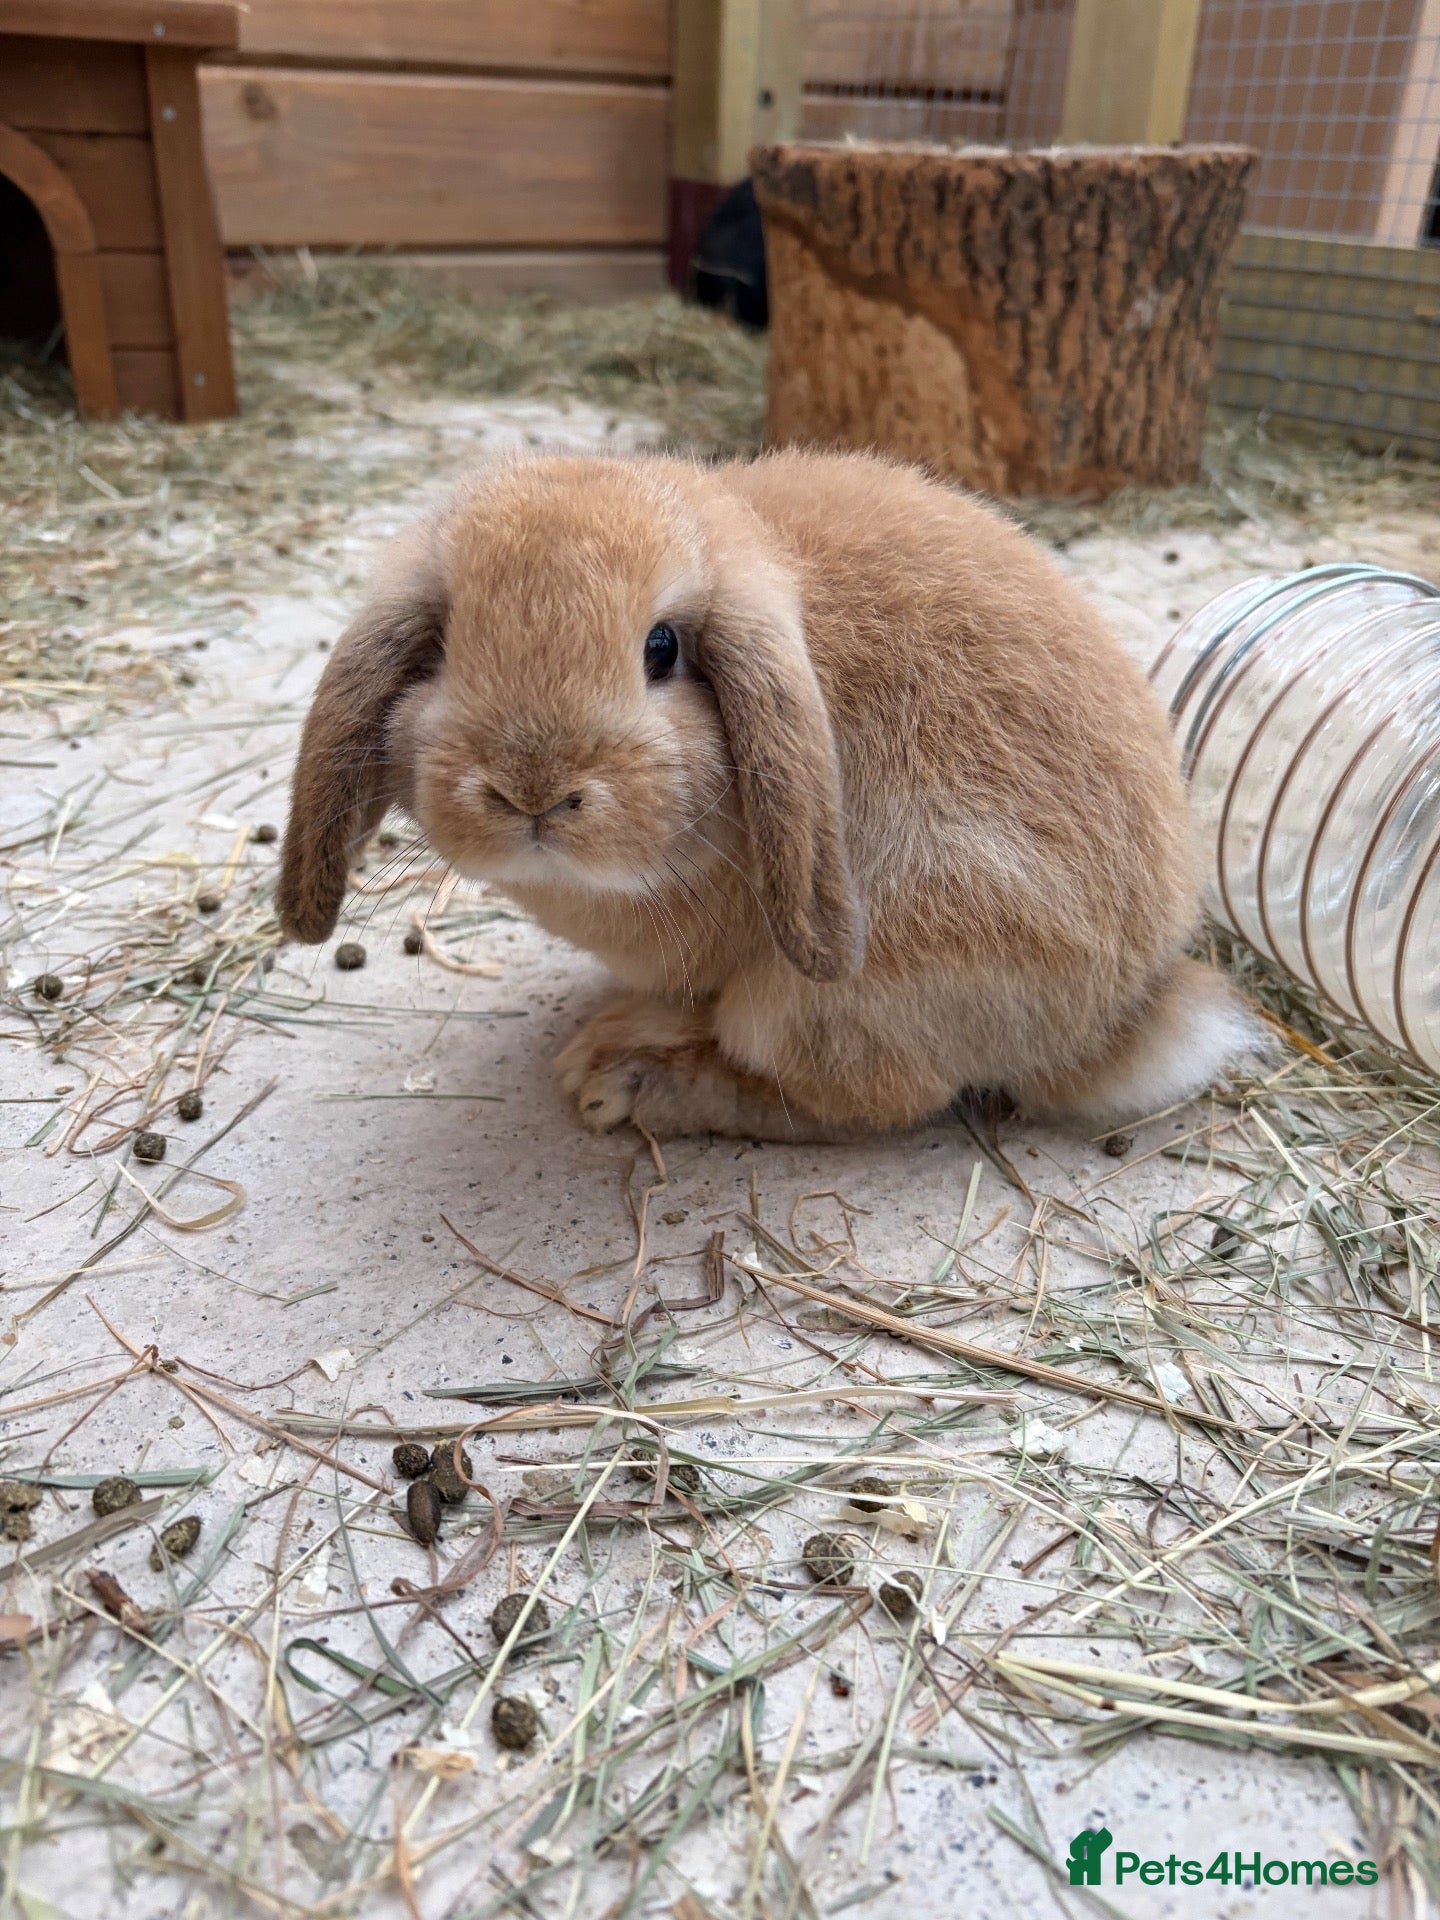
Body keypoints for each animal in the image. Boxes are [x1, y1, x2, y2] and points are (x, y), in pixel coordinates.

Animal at [278, 448, 1260, 1142]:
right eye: (442, 647)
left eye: (663, 648)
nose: (533, 791)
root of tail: (1126, 1018)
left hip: (830, 990)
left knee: (860, 1100)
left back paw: (627, 1080)